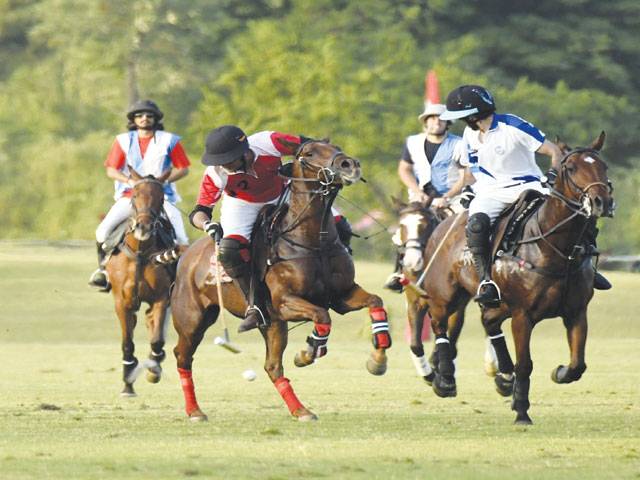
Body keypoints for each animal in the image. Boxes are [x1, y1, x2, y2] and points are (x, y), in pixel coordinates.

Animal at [105, 169, 176, 394]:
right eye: (135, 195)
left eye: (161, 198)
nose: (144, 227)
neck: (140, 253)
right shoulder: (122, 302)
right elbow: (127, 342)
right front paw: (128, 381)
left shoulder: (161, 298)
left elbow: (157, 340)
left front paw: (153, 369)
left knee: (152, 324)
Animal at [170, 139, 392, 420]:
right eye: (308, 153)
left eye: (333, 146)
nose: (349, 165)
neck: (312, 240)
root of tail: (187, 254)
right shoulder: (285, 302)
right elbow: (322, 316)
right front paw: (307, 352)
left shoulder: (341, 295)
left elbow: (375, 302)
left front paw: (378, 360)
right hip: (193, 320)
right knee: (183, 357)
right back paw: (195, 411)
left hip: (273, 324)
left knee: (272, 366)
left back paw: (301, 410)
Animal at [416, 132, 616, 424]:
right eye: (570, 168)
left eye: (604, 166)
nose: (602, 202)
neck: (556, 249)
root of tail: (443, 223)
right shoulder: (523, 315)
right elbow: (526, 364)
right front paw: (521, 410)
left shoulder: (576, 312)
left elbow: (577, 364)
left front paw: (558, 373)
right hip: (445, 294)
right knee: (439, 323)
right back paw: (444, 380)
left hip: (498, 303)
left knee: (488, 321)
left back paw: (503, 376)